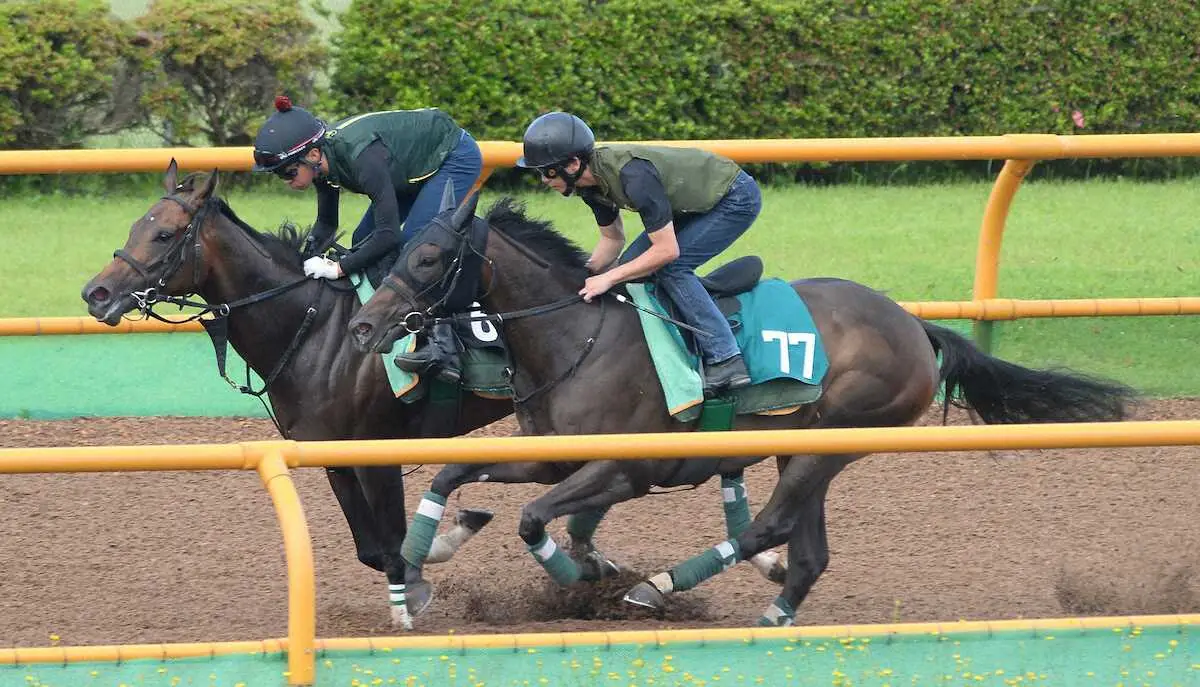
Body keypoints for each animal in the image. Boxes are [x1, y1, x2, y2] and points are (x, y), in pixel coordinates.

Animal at [345, 194, 1132, 629]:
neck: (577, 336)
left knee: (771, 527)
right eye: (404, 250)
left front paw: (585, 579)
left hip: (834, 438)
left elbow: (536, 519)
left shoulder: (624, 468)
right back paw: (775, 611)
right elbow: (451, 476)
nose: (364, 326)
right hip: (802, 446)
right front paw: (422, 568)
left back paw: (660, 589)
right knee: (808, 550)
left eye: (429, 258)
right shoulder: (551, 455)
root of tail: (913, 324)